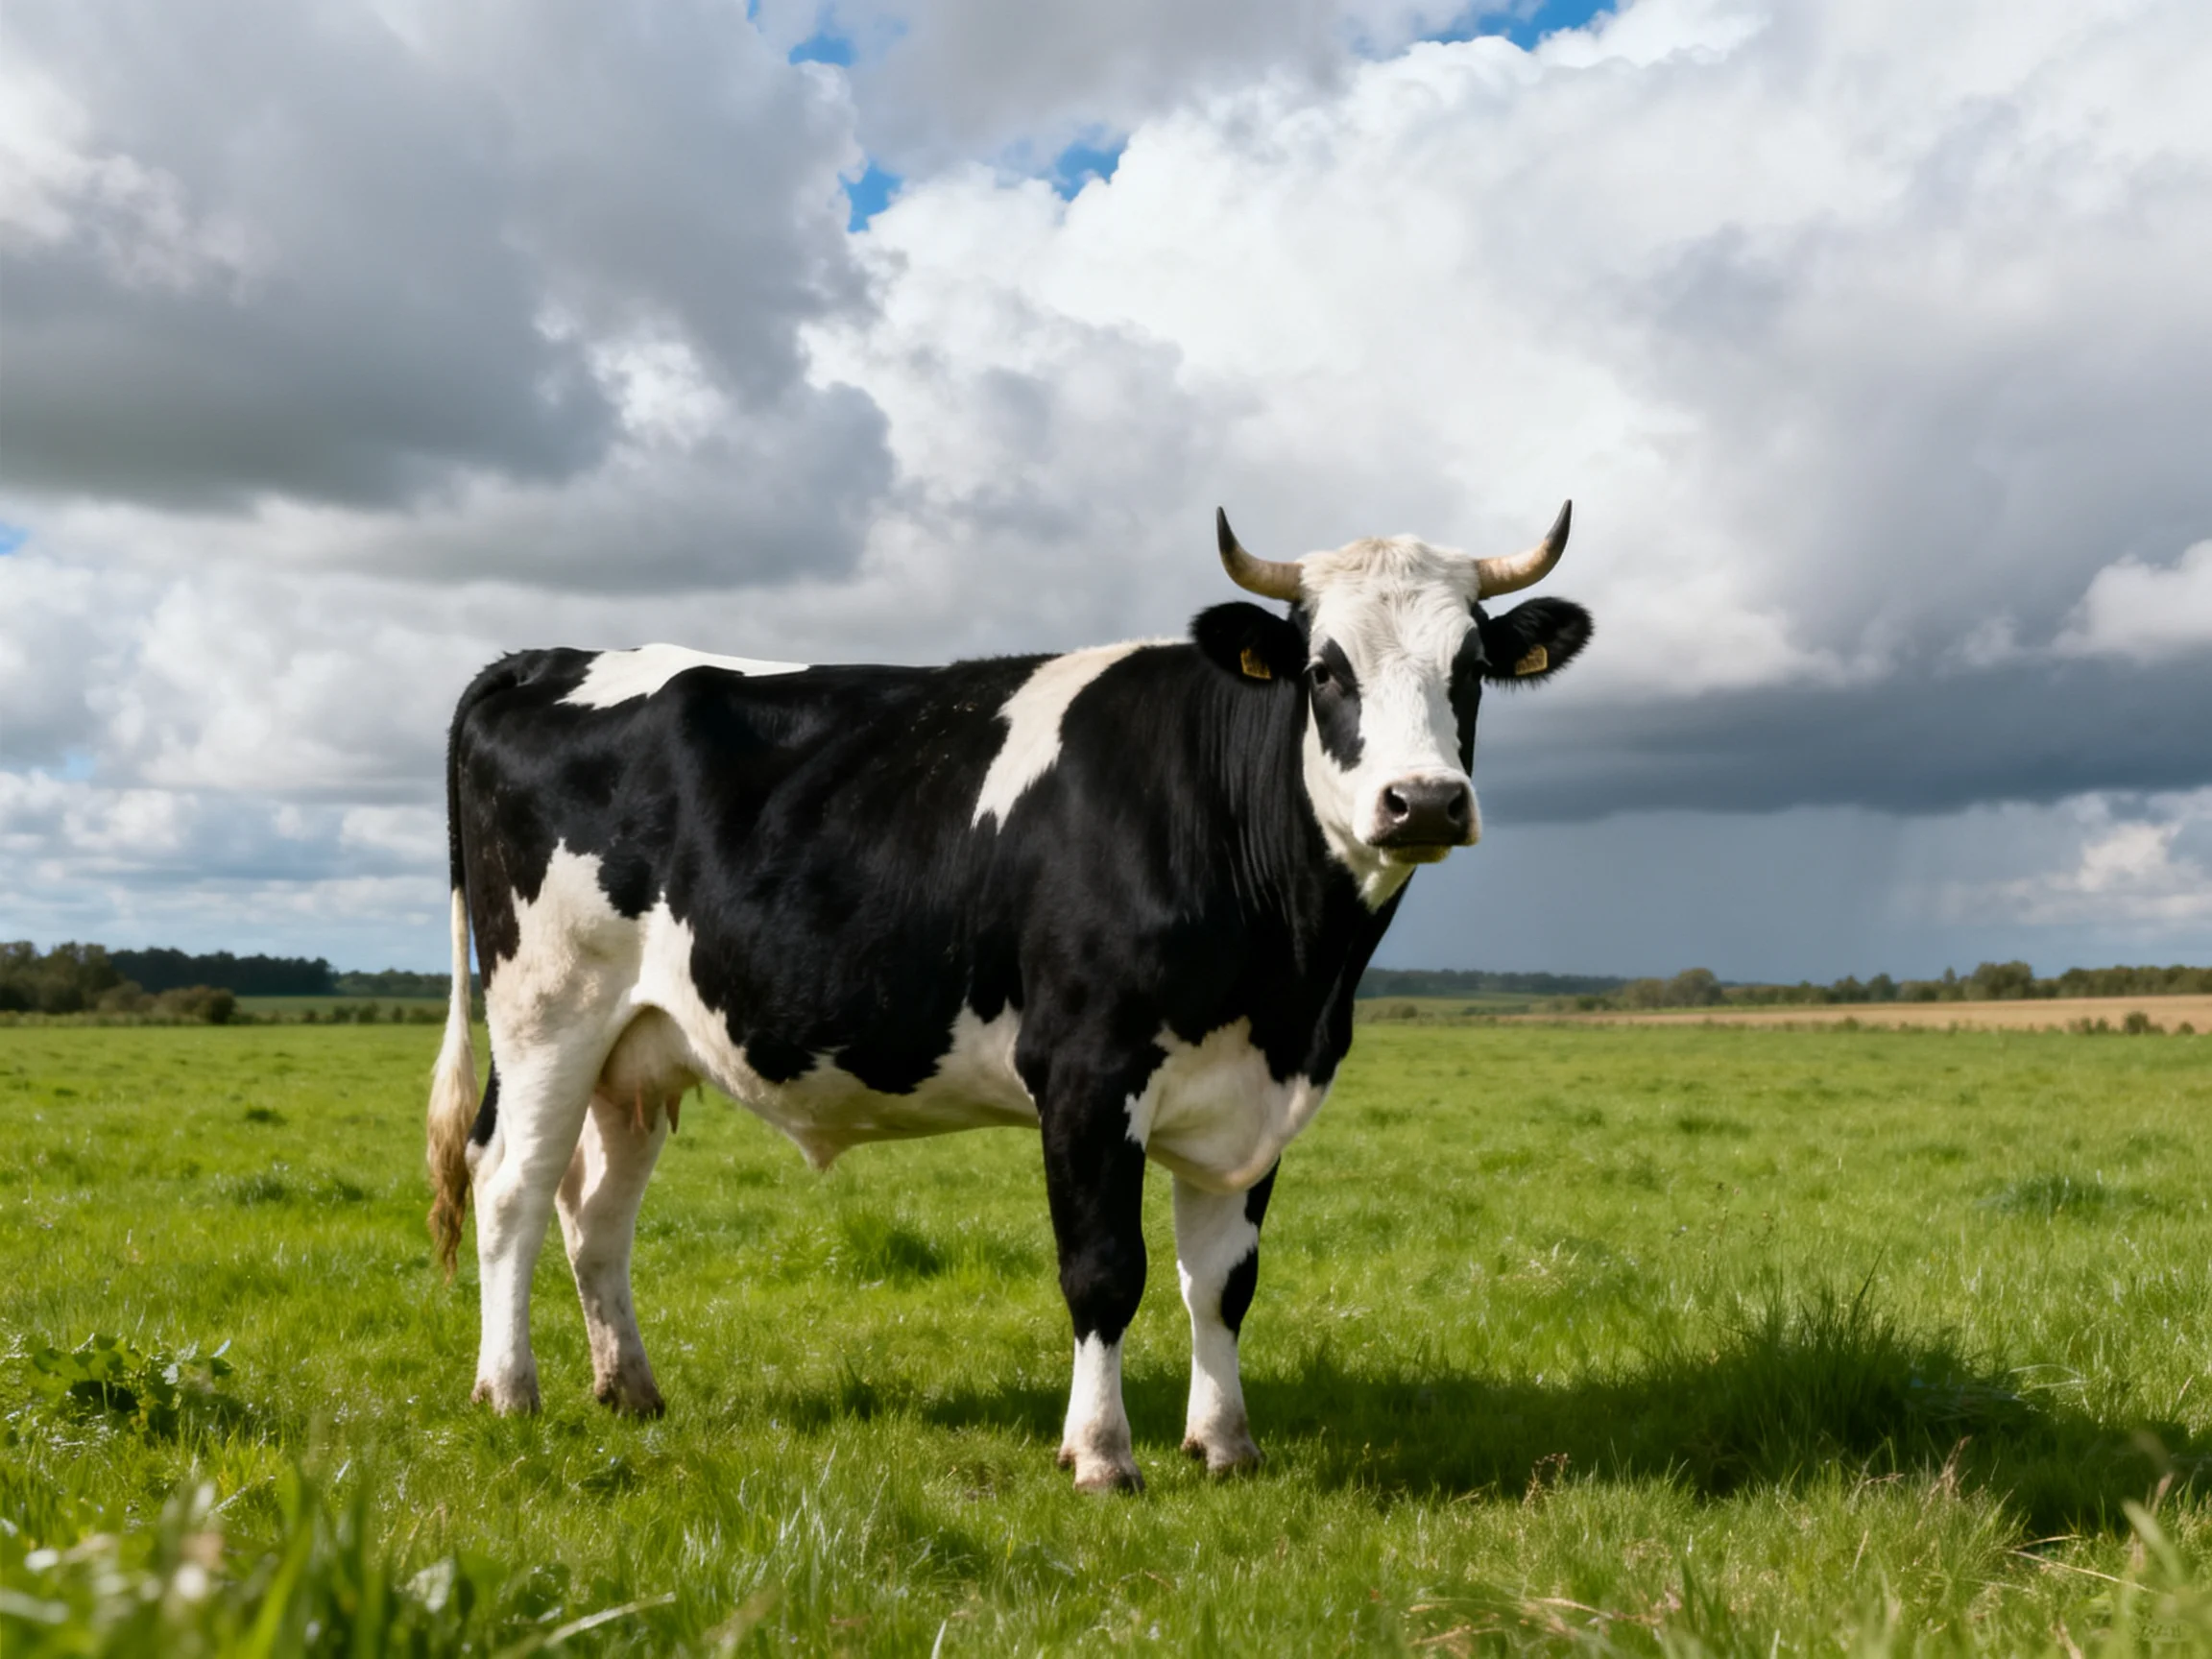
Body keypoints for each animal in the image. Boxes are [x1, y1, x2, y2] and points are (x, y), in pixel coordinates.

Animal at [425, 505, 1591, 1491]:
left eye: (1472, 668)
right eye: (1321, 670)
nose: (1423, 802)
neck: (1293, 975)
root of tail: (542, 659)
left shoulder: (1252, 1091)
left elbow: (1221, 1282)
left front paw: (1225, 1446)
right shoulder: (1086, 1072)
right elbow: (1105, 1272)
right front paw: (1102, 1456)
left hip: (638, 1048)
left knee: (596, 1211)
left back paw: (629, 1389)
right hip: (546, 1012)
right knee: (512, 1186)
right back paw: (508, 1390)